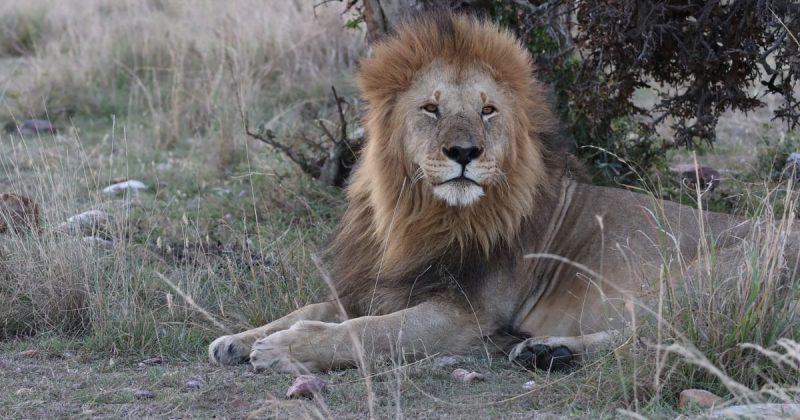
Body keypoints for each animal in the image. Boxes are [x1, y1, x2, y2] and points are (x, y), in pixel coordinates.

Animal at [209, 13, 796, 373]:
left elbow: (369, 331)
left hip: (704, 279)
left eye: (488, 110)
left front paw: (285, 347)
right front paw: (238, 339)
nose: (465, 152)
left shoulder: (465, 317)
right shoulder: (380, 283)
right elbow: (316, 305)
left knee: (669, 336)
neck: (416, 216)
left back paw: (549, 350)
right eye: (431, 108)